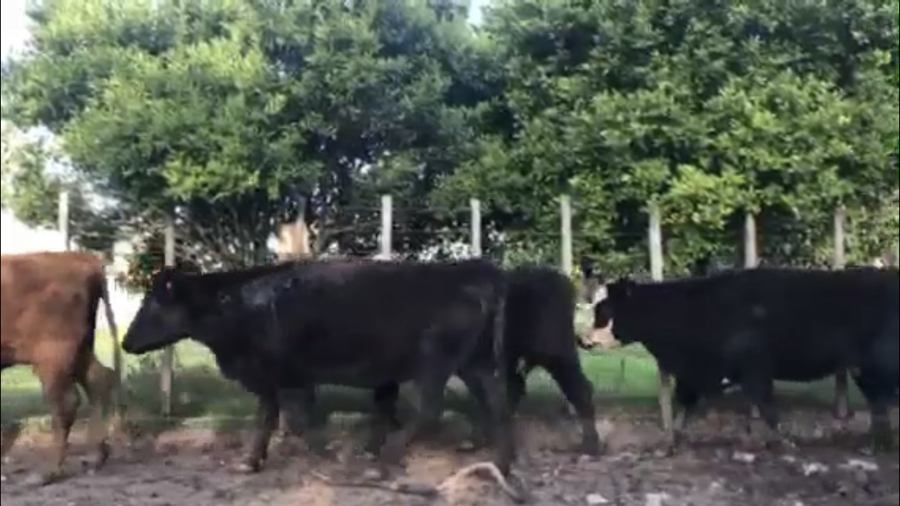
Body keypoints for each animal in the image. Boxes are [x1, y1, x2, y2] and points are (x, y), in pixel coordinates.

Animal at [1, 251, 121, 484]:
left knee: (65, 402)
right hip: (80, 350)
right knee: (97, 380)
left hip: (53, 358)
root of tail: (83, 259)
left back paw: (47, 473)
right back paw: (96, 458)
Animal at [120, 258, 515, 479]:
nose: (125, 343)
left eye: (154, 304)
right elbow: (269, 417)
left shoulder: (285, 375)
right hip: (474, 362)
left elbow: (296, 419)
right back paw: (500, 464)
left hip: (435, 360)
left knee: (431, 411)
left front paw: (325, 455)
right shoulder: (270, 377)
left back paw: (381, 462)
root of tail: (472, 269)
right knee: (496, 403)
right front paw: (251, 461)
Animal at [579, 264, 897, 452]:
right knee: (881, 402)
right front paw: (672, 441)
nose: (582, 339)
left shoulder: (753, 369)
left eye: (604, 310)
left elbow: (767, 408)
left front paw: (788, 441)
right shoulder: (701, 373)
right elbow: (686, 406)